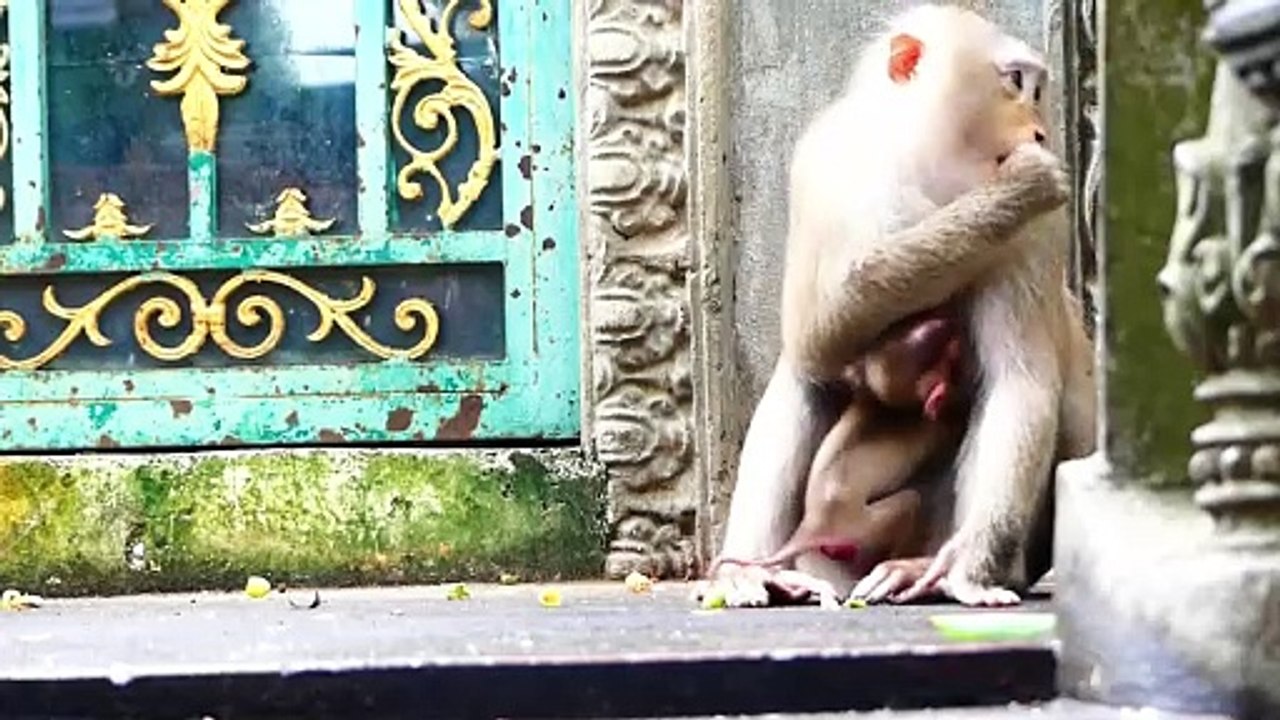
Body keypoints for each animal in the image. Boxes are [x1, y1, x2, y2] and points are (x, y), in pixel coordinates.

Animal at [703, 4, 1096, 609]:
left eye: (1037, 88)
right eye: (1013, 81)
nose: (1040, 131)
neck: (932, 167)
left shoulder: (1043, 230)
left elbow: (1018, 380)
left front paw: (966, 567)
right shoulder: (824, 159)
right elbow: (813, 340)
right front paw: (1014, 191)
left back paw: (936, 567)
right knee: (806, 376)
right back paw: (753, 571)